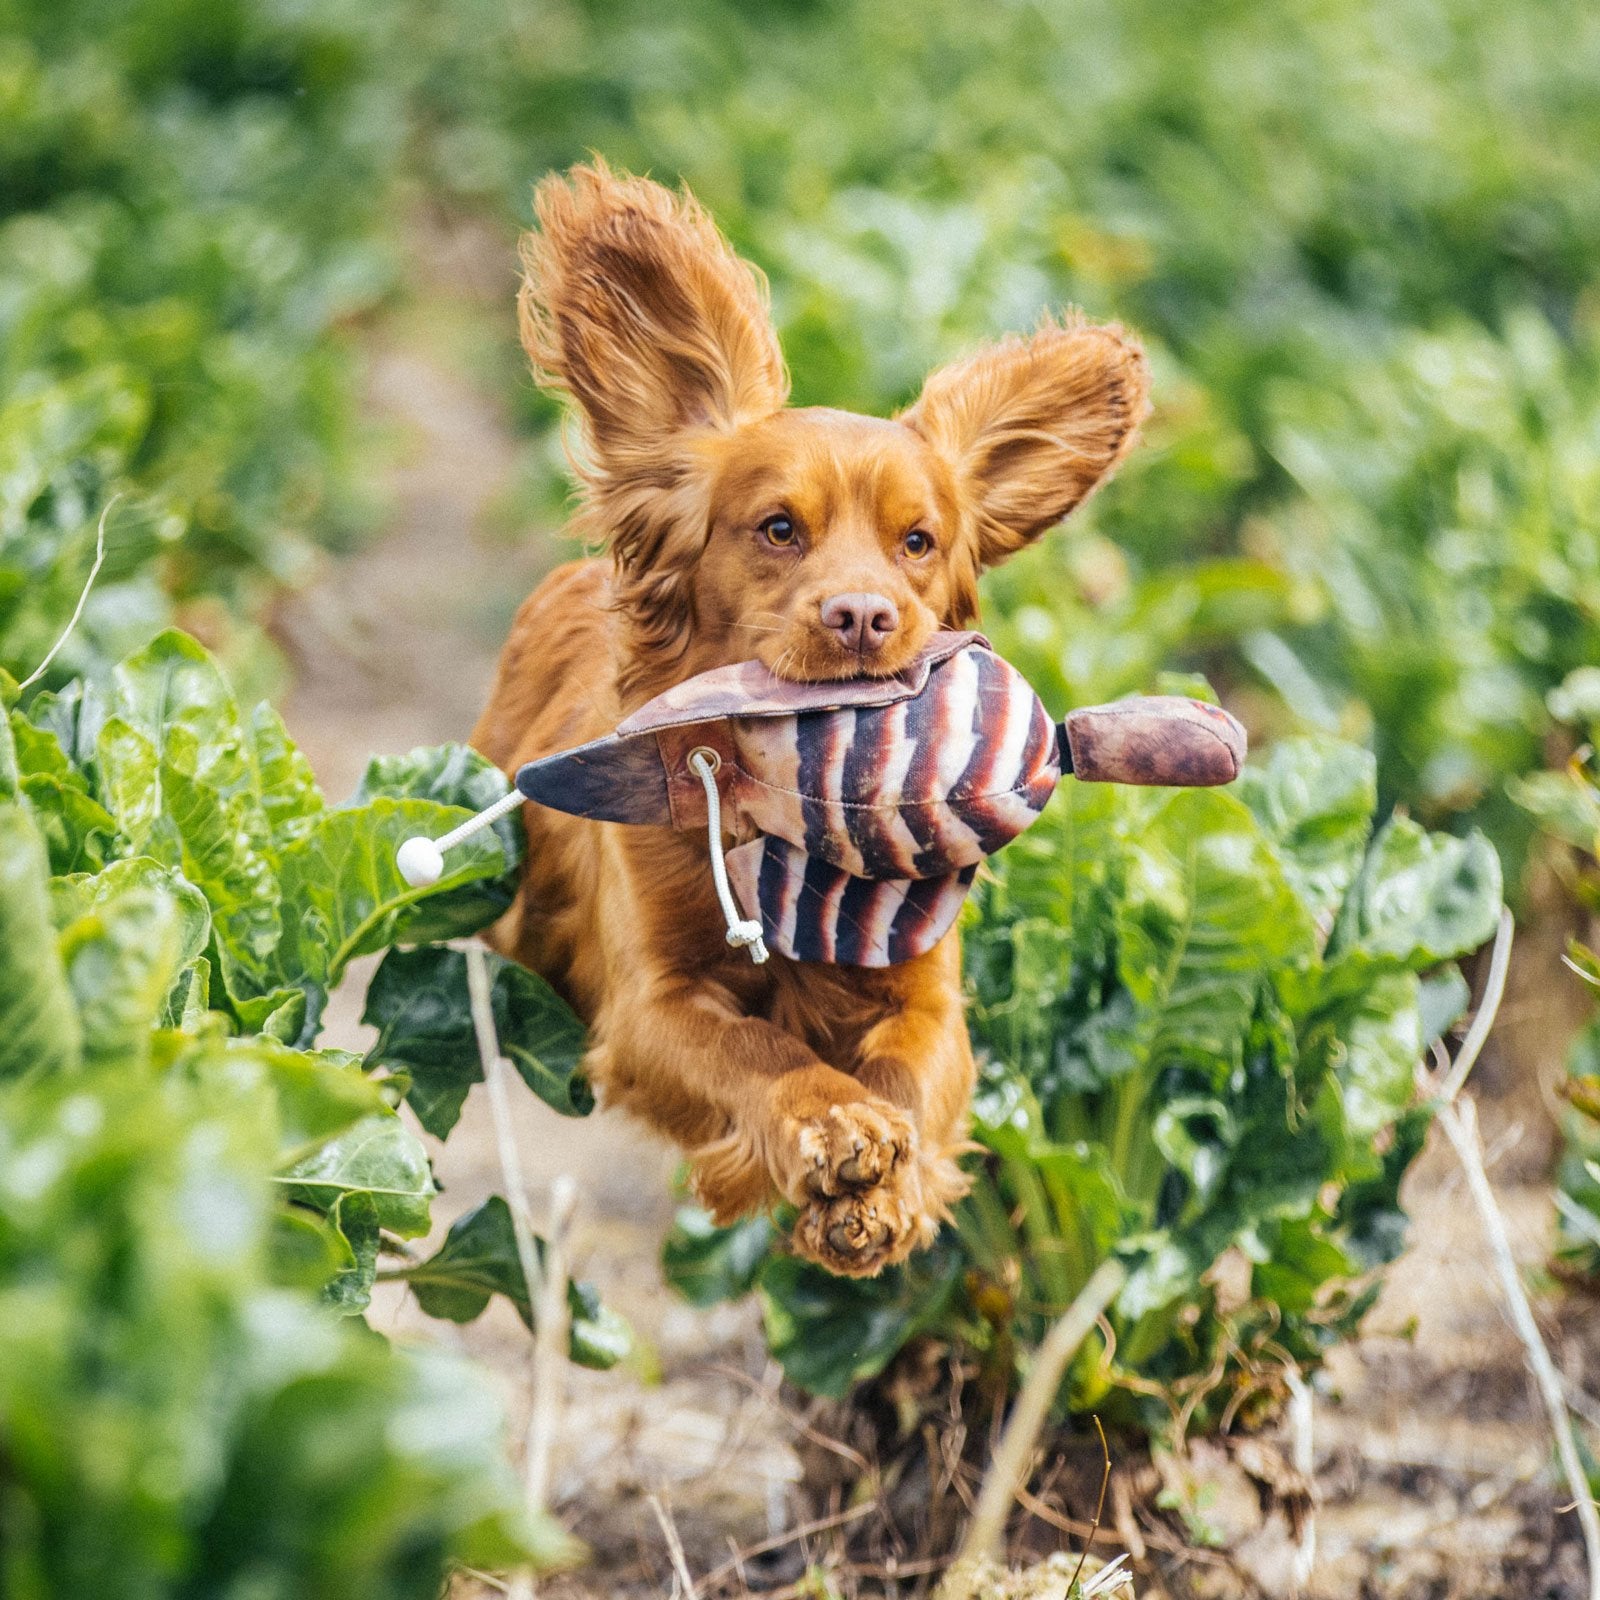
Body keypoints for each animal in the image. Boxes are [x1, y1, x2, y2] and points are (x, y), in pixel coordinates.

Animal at [467, 162, 1145, 1273]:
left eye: (918, 541)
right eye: (778, 529)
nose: (863, 616)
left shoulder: (931, 992)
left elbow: (911, 1068)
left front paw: (889, 1182)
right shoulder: (648, 1004)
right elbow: (759, 1049)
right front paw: (833, 1123)